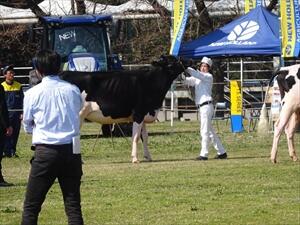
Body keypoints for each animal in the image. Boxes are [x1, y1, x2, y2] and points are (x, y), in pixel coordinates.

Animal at [60, 55, 188, 163]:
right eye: (172, 62)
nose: (187, 61)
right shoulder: (138, 114)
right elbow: (135, 137)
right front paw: (135, 159)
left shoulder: (144, 115)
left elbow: (145, 137)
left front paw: (148, 157)